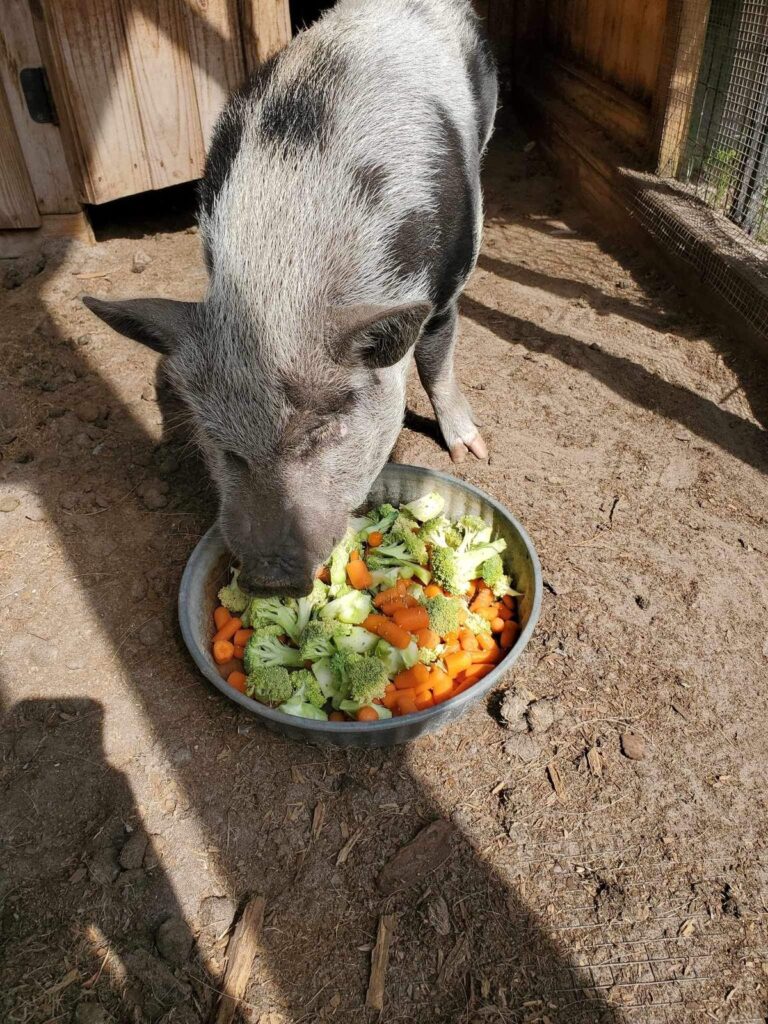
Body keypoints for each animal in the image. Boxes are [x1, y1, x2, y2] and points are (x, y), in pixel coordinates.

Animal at [84, 0, 497, 596]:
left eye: (319, 433)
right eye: (223, 444)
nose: (269, 577)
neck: (282, 282)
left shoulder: (446, 288)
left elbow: (435, 361)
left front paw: (471, 453)